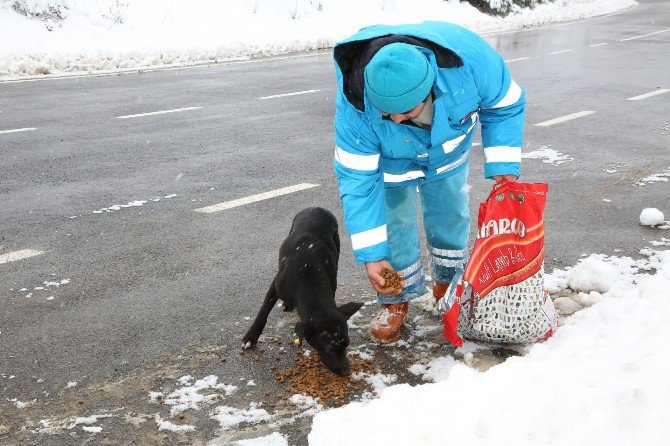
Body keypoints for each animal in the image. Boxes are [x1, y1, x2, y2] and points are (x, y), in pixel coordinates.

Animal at [243, 207, 364, 374]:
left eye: (347, 344)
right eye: (329, 350)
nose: (346, 372)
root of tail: (317, 208)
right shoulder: (276, 285)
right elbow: (263, 311)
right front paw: (251, 337)